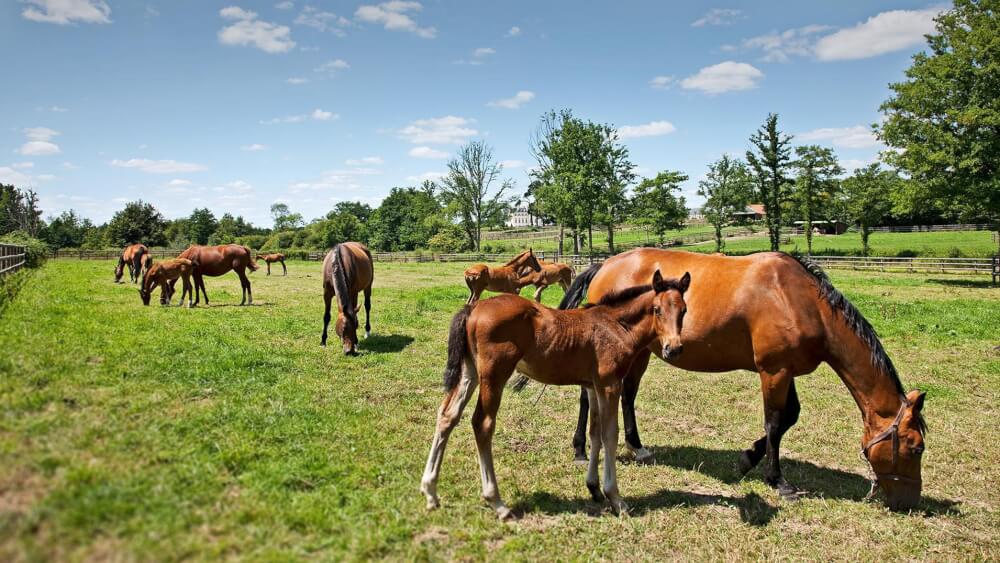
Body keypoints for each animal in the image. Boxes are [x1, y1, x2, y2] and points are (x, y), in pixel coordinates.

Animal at [420, 270, 688, 524]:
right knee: (482, 423)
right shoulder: (610, 384)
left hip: (470, 371)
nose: (673, 349)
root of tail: (473, 308)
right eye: (657, 310)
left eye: (684, 310)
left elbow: (595, 433)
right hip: (494, 374)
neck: (616, 326)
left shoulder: (593, 386)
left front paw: (594, 488)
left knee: (447, 415)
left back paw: (430, 491)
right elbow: (610, 435)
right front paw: (615, 498)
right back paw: (497, 502)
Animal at [556, 250, 920, 512]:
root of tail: (604, 264)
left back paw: (637, 447)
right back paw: (580, 449)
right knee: (590, 398)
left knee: (627, 396)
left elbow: (789, 417)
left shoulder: (786, 370)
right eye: (916, 447)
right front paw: (777, 481)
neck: (799, 299)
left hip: (641, 351)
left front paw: (746, 460)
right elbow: (775, 422)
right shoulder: (774, 371)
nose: (910, 504)